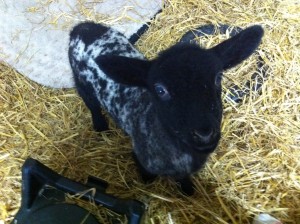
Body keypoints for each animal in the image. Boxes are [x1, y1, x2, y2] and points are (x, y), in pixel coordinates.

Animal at [68, 21, 262, 195]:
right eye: (160, 90)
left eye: (218, 78)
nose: (204, 133)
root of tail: (82, 27)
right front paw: (148, 181)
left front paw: (188, 190)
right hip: (81, 80)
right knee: (91, 104)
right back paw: (100, 126)